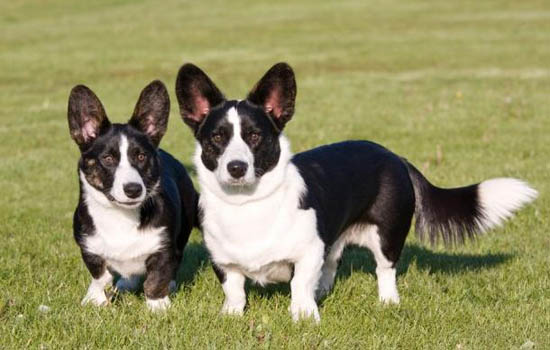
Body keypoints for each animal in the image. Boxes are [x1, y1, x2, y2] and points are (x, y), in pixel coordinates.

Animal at [68, 80, 198, 312]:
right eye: (108, 158)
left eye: (141, 156)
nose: (133, 189)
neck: (120, 215)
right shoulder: (88, 247)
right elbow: (100, 275)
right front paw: (95, 299)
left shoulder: (163, 248)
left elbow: (155, 279)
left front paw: (158, 306)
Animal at [176, 61, 540, 322]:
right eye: (217, 138)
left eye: (255, 136)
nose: (236, 168)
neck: (247, 204)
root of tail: (394, 156)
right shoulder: (224, 261)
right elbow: (235, 290)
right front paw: (231, 316)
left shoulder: (307, 252)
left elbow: (298, 285)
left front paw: (304, 316)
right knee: (332, 264)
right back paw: (324, 290)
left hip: (387, 234)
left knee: (385, 269)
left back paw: (388, 302)